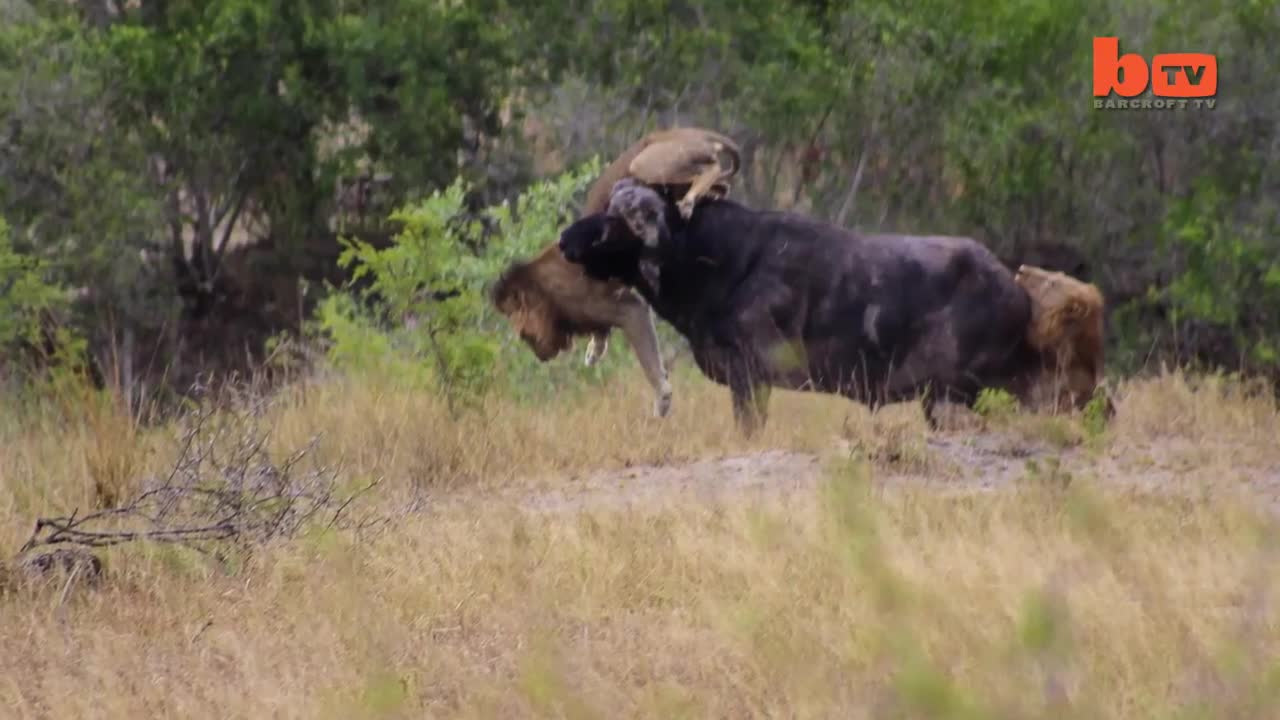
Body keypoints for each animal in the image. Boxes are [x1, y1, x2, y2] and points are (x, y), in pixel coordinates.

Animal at [565, 178, 1105, 438]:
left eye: (616, 224)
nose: (567, 239)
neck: (723, 260)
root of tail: (1014, 290)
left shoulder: (751, 378)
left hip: (954, 397)